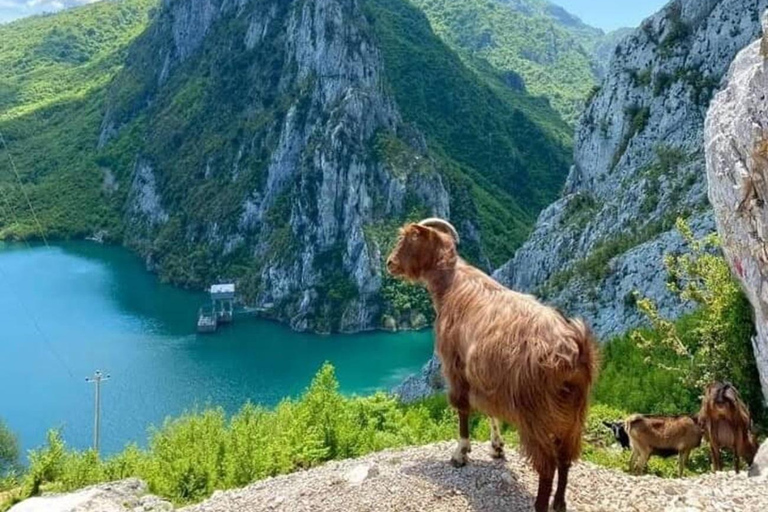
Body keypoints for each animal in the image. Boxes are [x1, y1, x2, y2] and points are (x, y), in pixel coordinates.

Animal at [388, 219, 596, 512]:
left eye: (410, 238)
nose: (389, 263)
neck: (452, 284)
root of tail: (572, 349)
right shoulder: (487, 379)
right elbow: (489, 411)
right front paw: (497, 447)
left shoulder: (455, 366)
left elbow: (462, 407)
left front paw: (460, 453)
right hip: (574, 415)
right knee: (566, 458)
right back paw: (559, 503)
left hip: (536, 415)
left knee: (548, 465)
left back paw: (540, 504)